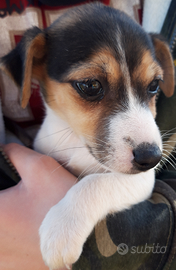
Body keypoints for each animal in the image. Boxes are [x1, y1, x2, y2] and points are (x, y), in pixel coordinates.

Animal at [1, 2, 175, 270]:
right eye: (91, 85)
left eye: (154, 85)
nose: (152, 158)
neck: (76, 143)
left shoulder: (143, 180)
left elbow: (94, 182)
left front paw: (61, 228)